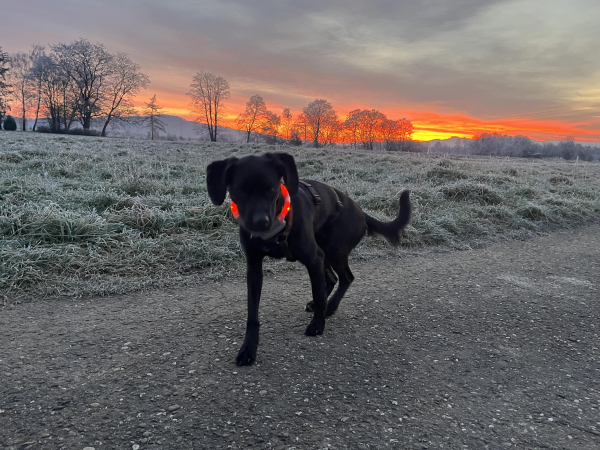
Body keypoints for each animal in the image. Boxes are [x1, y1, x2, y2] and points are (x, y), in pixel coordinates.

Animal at [207, 152, 412, 366]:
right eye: (240, 190)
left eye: (271, 188)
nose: (261, 222)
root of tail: (361, 211)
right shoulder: (254, 267)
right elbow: (252, 313)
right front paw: (248, 349)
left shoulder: (313, 258)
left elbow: (317, 292)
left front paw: (317, 324)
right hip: (324, 253)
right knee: (331, 278)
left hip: (333, 251)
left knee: (345, 278)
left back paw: (329, 307)